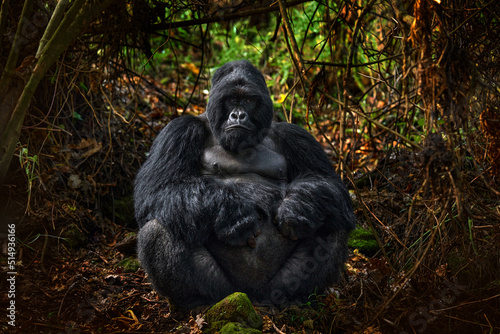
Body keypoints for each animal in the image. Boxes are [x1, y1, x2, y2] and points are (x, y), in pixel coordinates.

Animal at [134, 60, 356, 310]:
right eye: (232, 99)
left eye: (248, 101)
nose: (238, 115)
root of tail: (252, 295)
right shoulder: (179, 130)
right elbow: (158, 190)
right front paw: (231, 214)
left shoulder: (295, 134)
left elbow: (330, 184)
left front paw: (298, 208)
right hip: (226, 289)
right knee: (161, 226)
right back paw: (198, 299)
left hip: (272, 286)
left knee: (331, 223)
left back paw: (294, 296)